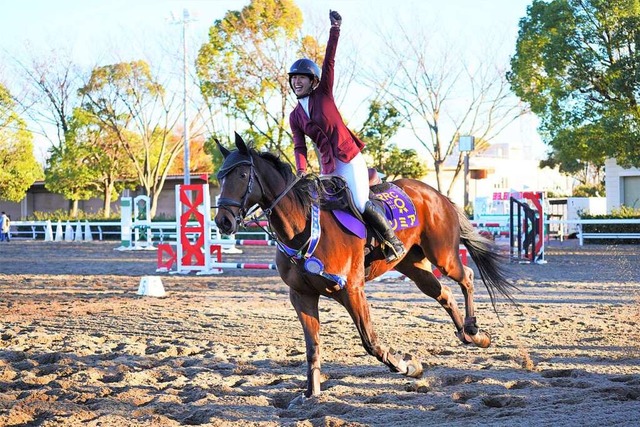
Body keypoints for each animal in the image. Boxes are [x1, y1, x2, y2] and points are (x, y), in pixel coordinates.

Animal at [215, 134, 516, 404]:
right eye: (220, 177)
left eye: (242, 175)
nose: (223, 221)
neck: (304, 229)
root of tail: (436, 193)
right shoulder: (302, 295)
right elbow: (312, 347)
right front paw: (311, 394)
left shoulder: (352, 290)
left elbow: (370, 341)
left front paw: (407, 366)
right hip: (415, 266)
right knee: (443, 293)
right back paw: (471, 336)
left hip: (443, 256)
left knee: (467, 277)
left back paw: (474, 330)